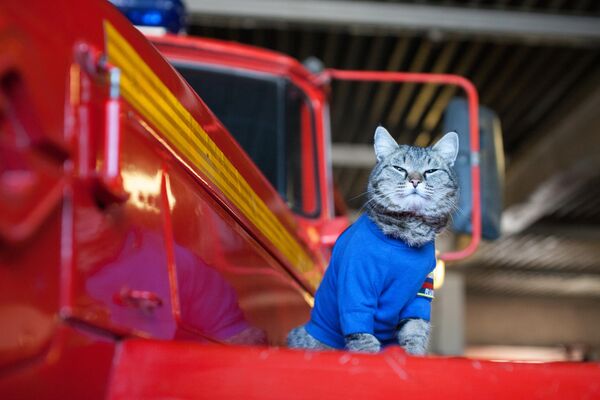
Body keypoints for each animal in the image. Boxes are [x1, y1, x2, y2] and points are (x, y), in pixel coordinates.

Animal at [288, 126, 460, 354]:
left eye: (431, 171)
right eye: (399, 168)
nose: (415, 181)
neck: (408, 231)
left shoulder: (421, 293)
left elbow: (416, 331)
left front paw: (414, 355)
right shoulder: (355, 284)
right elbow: (362, 334)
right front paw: (369, 354)